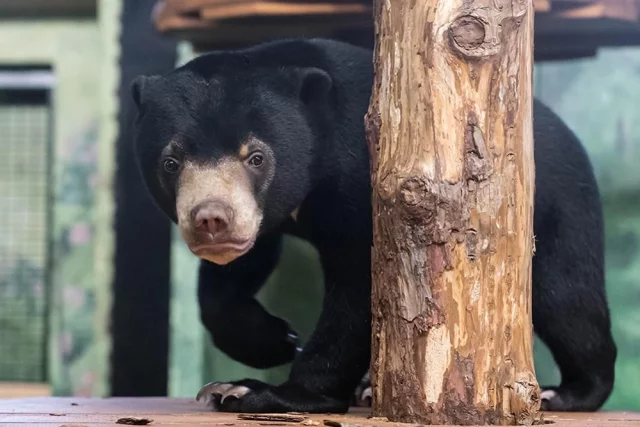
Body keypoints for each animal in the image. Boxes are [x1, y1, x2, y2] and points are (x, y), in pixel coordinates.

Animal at [129, 37, 616, 414]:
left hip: (559, 207)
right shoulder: (265, 218)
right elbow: (235, 277)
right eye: (170, 162)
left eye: (257, 157)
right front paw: (271, 341)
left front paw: (262, 392)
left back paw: (567, 393)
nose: (211, 219)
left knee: (566, 298)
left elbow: (361, 288)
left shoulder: (364, 180)